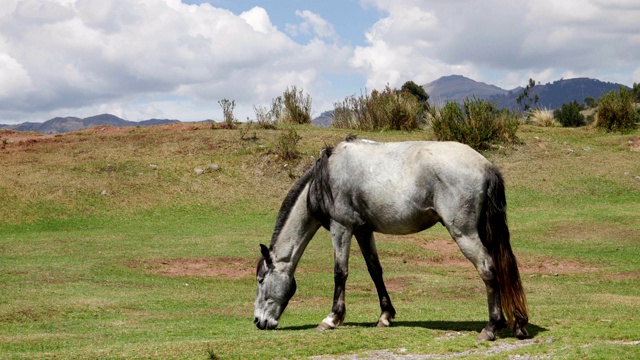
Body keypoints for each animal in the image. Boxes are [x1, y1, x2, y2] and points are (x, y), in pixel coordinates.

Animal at [252, 135, 528, 340]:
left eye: (260, 279)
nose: (258, 321)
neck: (325, 178)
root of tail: (486, 165)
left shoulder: (341, 228)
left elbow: (340, 272)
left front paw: (332, 318)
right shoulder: (363, 231)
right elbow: (375, 271)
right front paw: (385, 315)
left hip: (465, 234)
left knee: (488, 269)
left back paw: (491, 327)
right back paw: (517, 323)